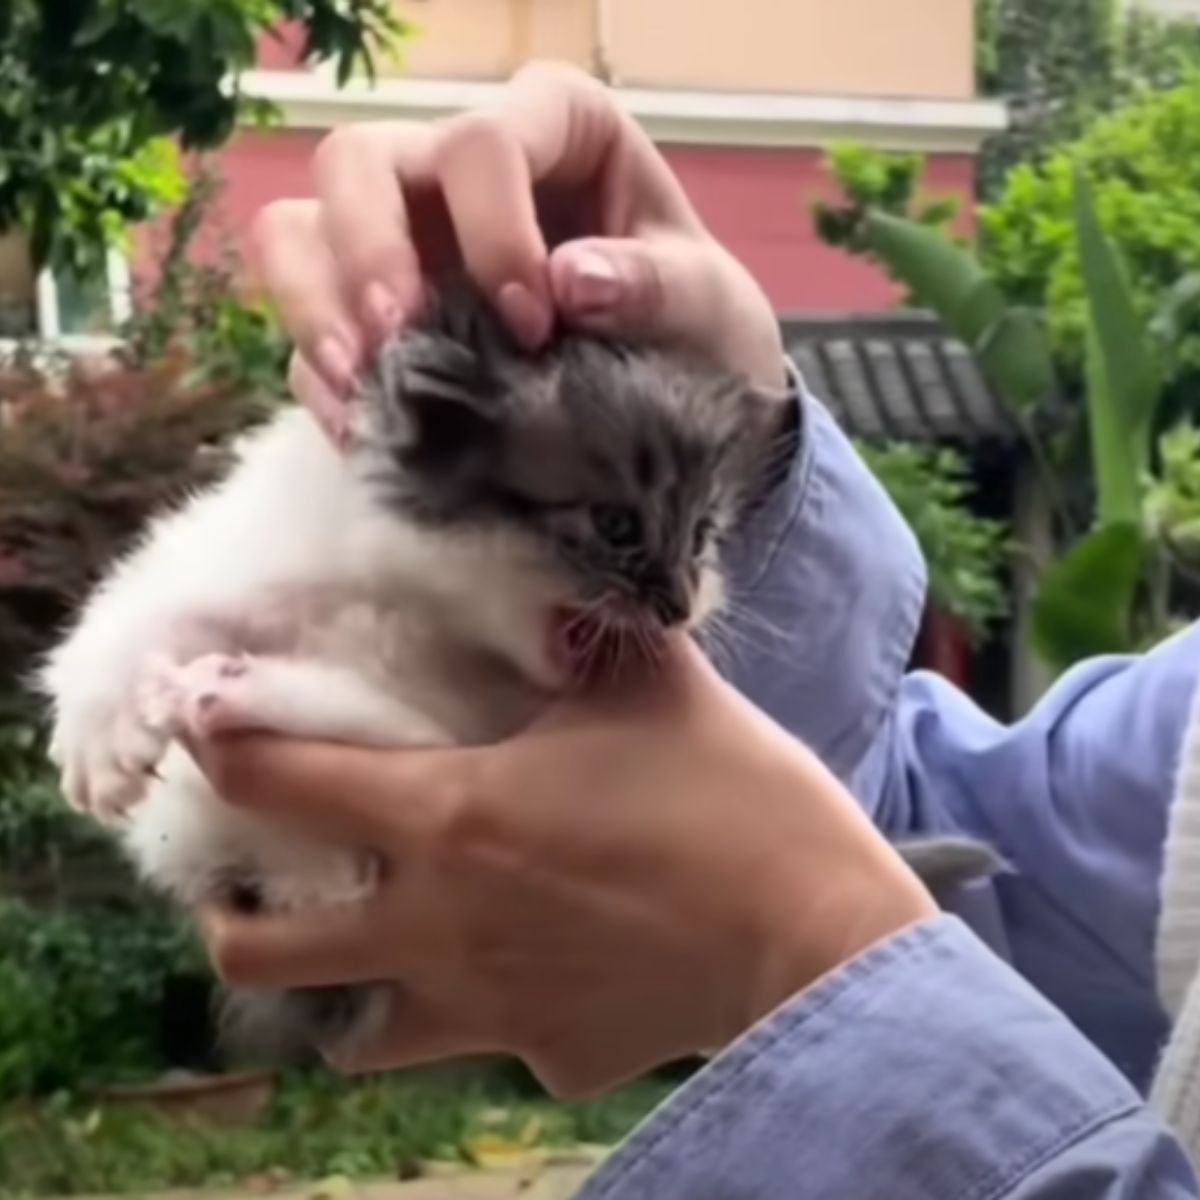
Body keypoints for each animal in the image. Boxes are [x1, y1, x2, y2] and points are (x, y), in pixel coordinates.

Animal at [37, 283, 998, 1070]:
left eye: (700, 538)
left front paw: (220, 690)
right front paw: (97, 740)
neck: (421, 604)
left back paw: (231, 693)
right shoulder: (253, 556)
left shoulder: (459, 739)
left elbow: (395, 743)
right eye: (616, 526)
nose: (678, 606)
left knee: (336, 857)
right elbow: (134, 611)